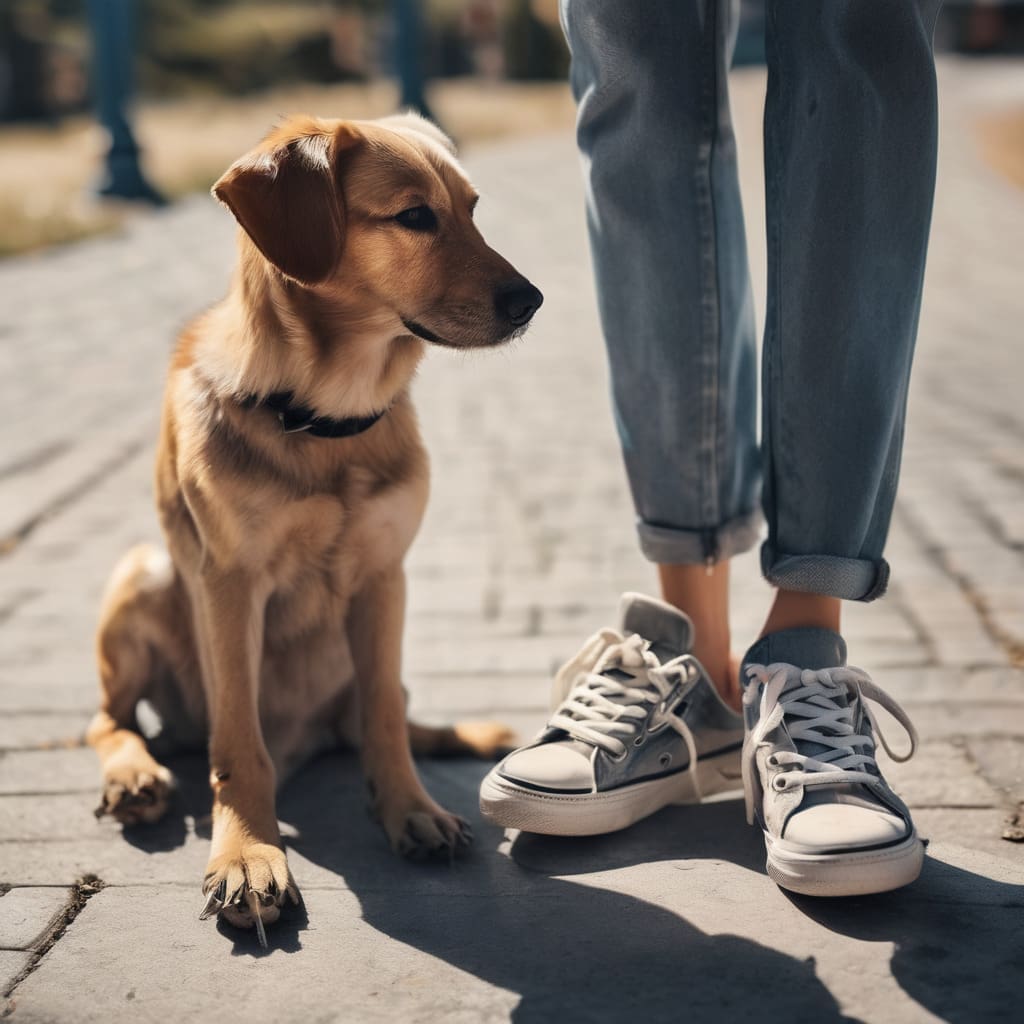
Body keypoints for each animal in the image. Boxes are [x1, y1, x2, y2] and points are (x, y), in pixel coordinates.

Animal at [86, 112, 544, 942]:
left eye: (472, 208)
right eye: (415, 216)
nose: (533, 301)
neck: (326, 418)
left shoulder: (385, 578)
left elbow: (387, 717)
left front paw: (411, 810)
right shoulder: (230, 586)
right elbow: (238, 742)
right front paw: (247, 855)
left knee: (373, 720)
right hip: (146, 573)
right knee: (108, 722)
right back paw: (137, 775)